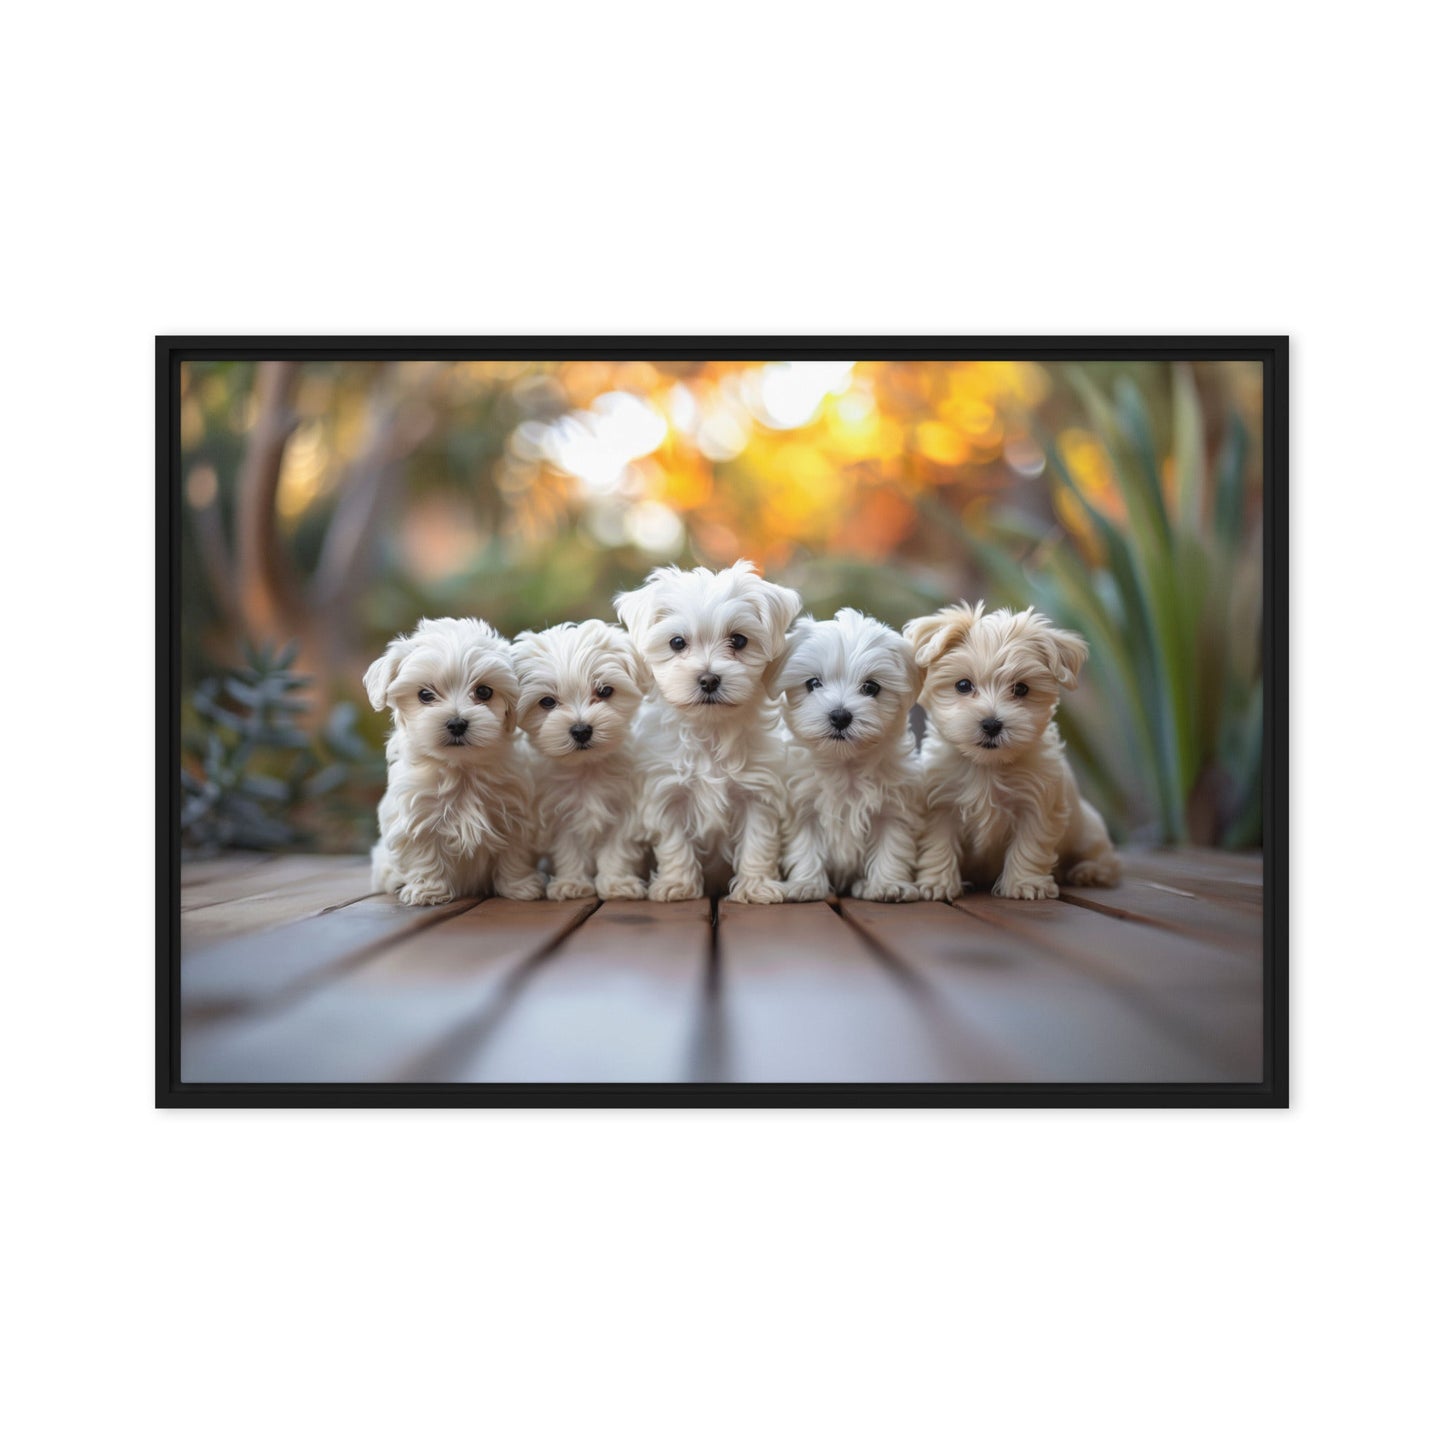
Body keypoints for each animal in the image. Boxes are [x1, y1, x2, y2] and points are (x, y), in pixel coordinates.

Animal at [361, 615, 543, 907]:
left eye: (484, 691)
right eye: (425, 695)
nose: (457, 723)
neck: (461, 767)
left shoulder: (515, 815)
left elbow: (513, 854)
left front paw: (519, 886)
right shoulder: (416, 817)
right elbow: (424, 854)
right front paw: (428, 891)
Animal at [505, 621, 647, 901]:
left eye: (605, 691)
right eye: (547, 701)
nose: (581, 730)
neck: (586, 768)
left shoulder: (624, 811)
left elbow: (617, 849)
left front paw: (616, 883)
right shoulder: (559, 815)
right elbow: (569, 850)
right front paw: (572, 883)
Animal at [615, 554, 809, 901]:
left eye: (739, 640)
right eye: (677, 642)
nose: (708, 679)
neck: (710, 730)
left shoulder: (758, 794)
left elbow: (758, 842)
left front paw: (756, 887)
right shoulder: (668, 793)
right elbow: (674, 843)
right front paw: (678, 885)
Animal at [774, 609, 919, 901]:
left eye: (871, 687)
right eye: (813, 683)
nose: (840, 716)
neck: (845, 763)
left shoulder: (893, 807)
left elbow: (892, 844)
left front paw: (888, 884)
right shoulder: (802, 806)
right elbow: (805, 845)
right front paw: (806, 884)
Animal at [907, 601, 1121, 895]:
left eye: (1021, 689)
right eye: (963, 685)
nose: (991, 724)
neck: (987, 766)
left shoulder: (1037, 804)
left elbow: (1029, 845)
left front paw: (1025, 883)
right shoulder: (940, 804)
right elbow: (938, 844)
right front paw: (936, 883)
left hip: (1088, 831)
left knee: (1106, 859)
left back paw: (1089, 871)